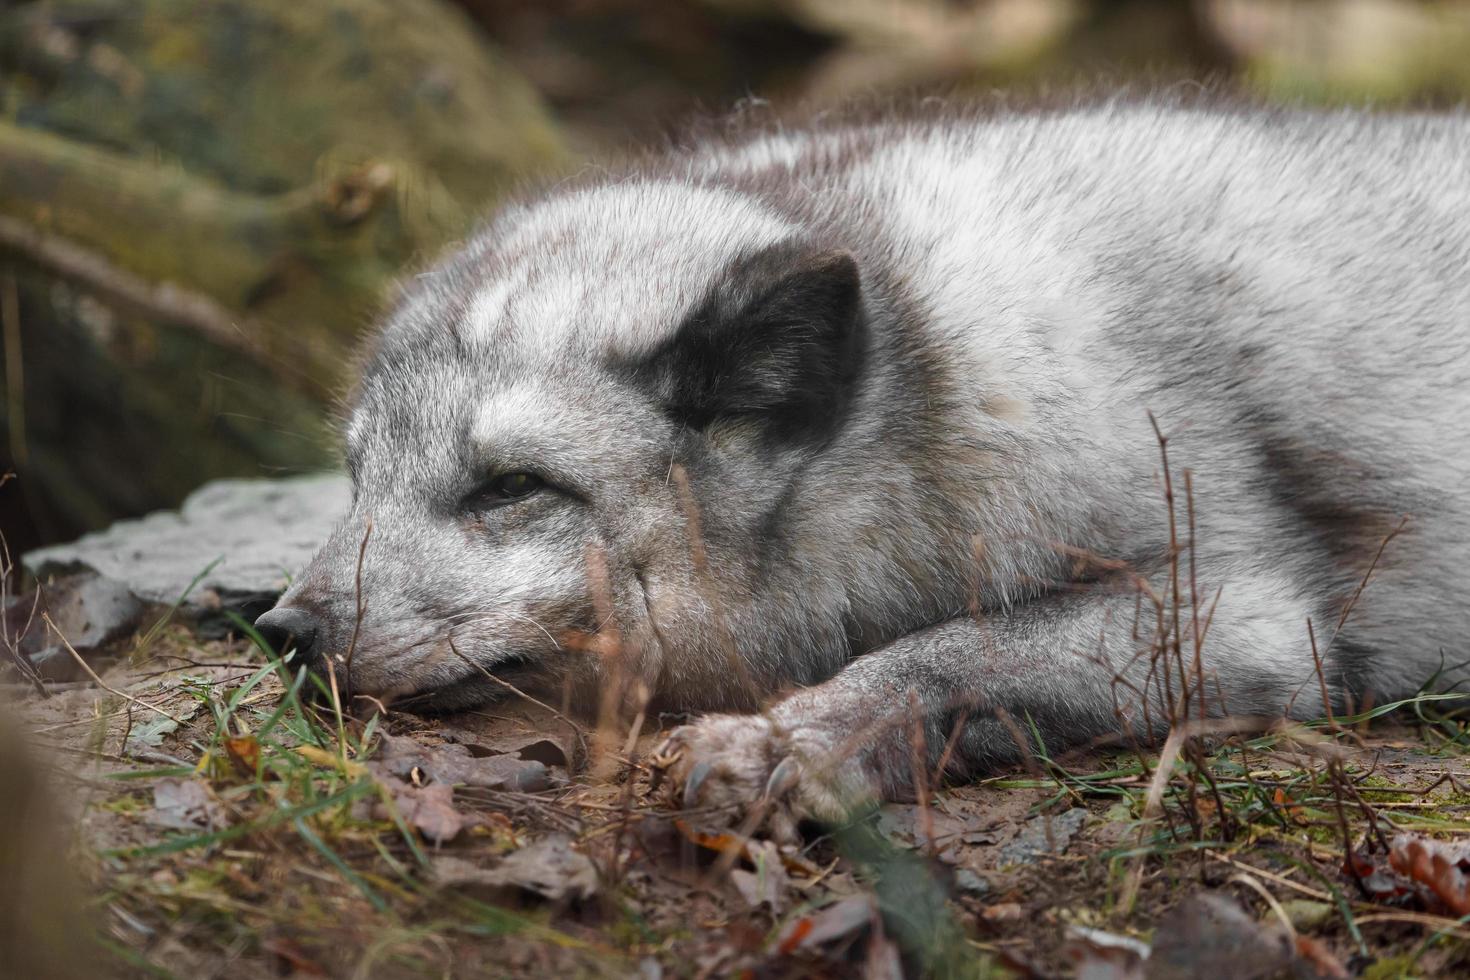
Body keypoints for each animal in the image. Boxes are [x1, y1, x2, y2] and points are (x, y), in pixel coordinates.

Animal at [255, 95, 1470, 828]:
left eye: (511, 487)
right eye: (357, 478)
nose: (285, 631)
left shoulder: (1250, 604)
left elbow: (951, 648)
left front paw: (792, 738)